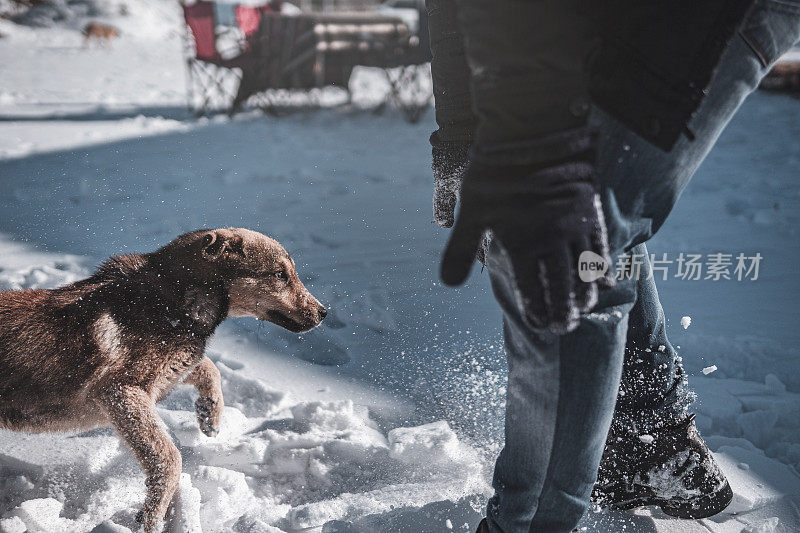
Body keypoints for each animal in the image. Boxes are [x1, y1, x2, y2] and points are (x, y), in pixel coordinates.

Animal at [0, 227, 328, 528]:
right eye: (280, 275)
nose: (324, 312)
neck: (173, 300)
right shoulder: (121, 393)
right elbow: (169, 459)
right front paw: (152, 518)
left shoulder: (169, 371)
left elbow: (209, 367)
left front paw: (209, 415)